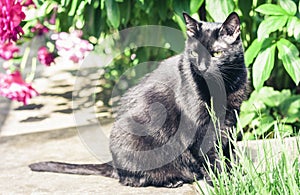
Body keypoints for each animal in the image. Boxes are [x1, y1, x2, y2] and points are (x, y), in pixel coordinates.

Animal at [29, 11, 247, 187]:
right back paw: (171, 180)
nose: (202, 67)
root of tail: (113, 164)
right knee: (131, 178)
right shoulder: (199, 126)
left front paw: (237, 174)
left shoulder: (230, 120)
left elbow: (228, 151)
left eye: (217, 53)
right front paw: (220, 180)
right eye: (194, 53)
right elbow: (210, 156)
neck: (224, 87)